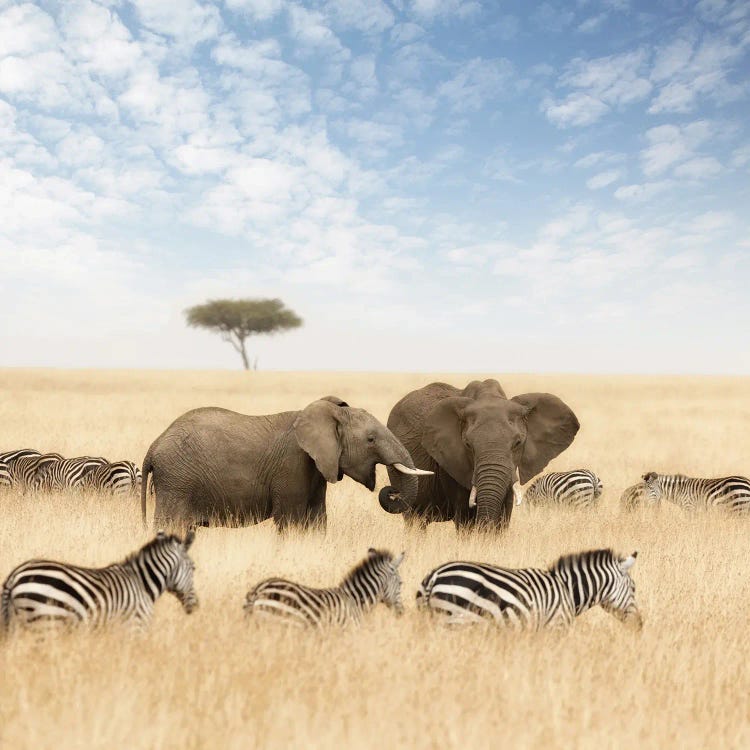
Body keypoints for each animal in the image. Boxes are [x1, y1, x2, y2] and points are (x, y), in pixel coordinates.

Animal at [0, 532, 200, 632]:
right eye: (193, 568)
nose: (196, 606)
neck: (142, 584)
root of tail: (14, 576)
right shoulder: (134, 627)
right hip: (45, 623)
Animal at [140, 396, 428, 532]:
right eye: (370, 440)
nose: (391, 491)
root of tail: (154, 445)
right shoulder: (293, 465)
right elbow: (291, 522)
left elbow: (317, 520)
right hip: (177, 482)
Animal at [382, 378, 580, 532]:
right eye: (468, 445)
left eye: (518, 443)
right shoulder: (451, 461)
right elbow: (465, 517)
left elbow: (504, 515)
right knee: (415, 520)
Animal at [418, 548, 640, 632]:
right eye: (634, 589)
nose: (640, 625)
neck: (568, 590)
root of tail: (435, 575)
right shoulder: (555, 627)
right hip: (456, 621)